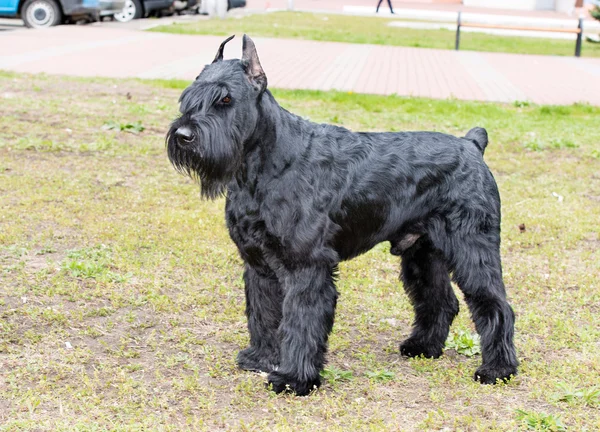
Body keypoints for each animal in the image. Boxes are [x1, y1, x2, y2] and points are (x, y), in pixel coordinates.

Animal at [166, 35, 516, 396]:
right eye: (189, 97)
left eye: (225, 98)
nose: (184, 135)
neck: (264, 166)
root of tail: (472, 145)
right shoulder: (258, 264)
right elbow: (263, 314)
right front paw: (261, 357)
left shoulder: (307, 266)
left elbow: (300, 321)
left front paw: (294, 378)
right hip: (423, 253)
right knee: (441, 300)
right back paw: (423, 347)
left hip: (472, 250)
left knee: (496, 305)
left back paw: (497, 369)